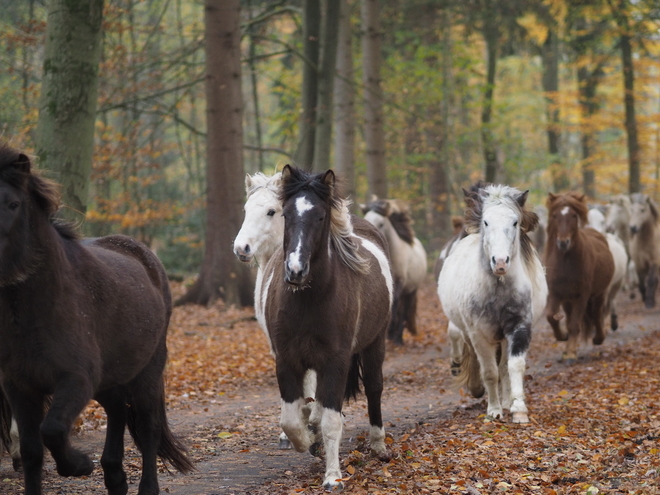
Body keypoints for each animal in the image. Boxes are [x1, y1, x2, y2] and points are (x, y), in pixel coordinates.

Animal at [0, 143, 193, 495]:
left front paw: (78, 465)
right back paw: (114, 476)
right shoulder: (19, 386)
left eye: (13, 203)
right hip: (111, 376)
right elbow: (33, 451)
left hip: (147, 371)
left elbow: (53, 429)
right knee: (117, 408)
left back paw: (143, 485)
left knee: (148, 428)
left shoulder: (76, 379)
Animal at [262, 167, 392, 492]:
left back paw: (378, 444)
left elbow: (332, 421)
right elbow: (291, 421)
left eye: (320, 216)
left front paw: (333, 477)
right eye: (285, 214)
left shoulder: (335, 361)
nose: (295, 271)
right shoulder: (287, 360)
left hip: (375, 343)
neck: (309, 301)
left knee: (374, 387)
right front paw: (309, 440)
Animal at [360, 198, 428, 344]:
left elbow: (395, 304)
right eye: (366, 219)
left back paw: (398, 338)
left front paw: (391, 332)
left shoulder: (399, 282)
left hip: (411, 292)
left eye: (381, 223)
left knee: (403, 312)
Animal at [438, 184, 548, 424]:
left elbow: (513, 366)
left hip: (504, 337)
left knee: (504, 367)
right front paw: (494, 411)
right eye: (486, 222)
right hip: (469, 332)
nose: (500, 262)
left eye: (515, 222)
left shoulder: (519, 327)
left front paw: (518, 409)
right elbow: (489, 372)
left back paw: (507, 401)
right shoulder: (479, 334)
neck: (498, 290)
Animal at [544, 192, 616, 362]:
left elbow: (575, 324)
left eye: (574, 215)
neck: (565, 263)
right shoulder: (556, 294)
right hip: (568, 300)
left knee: (596, 314)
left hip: (598, 294)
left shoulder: (582, 296)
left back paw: (598, 338)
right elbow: (551, 317)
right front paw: (562, 337)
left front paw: (570, 353)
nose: (563, 243)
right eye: (555, 215)